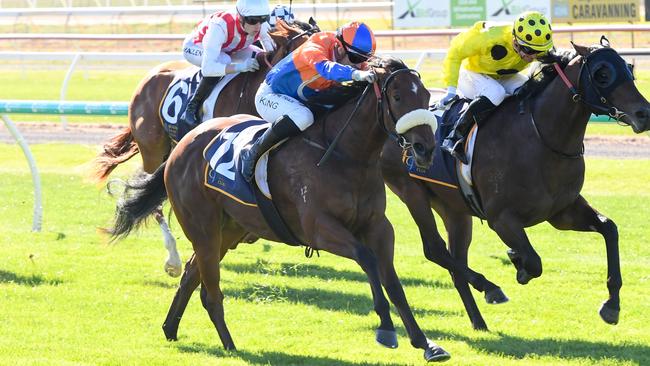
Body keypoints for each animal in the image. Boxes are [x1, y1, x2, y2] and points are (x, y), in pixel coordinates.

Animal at [106, 58, 478, 362]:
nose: (425, 148)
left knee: (191, 274)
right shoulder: (319, 228)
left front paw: (425, 343)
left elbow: (394, 283)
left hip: (228, 231)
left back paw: (171, 328)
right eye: (398, 97)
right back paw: (230, 346)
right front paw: (386, 328)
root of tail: (183, 144)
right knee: (210, 291)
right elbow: (368, 261)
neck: (345, 155)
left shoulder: (378, 227)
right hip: (203, 227)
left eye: (425, 95)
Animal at [380, 40, 648, 332]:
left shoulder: (562, 211)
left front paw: (612, 305)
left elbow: (609, 228)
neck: (540, 138)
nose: (644, 113)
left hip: (454, 209)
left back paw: (479, 321)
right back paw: (491, 289)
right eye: (602, 74)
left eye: (629, 68)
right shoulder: (501, 218)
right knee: (434, 249)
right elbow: (534, 261)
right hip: (411, 192)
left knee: (455, 263)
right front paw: (517, 262)